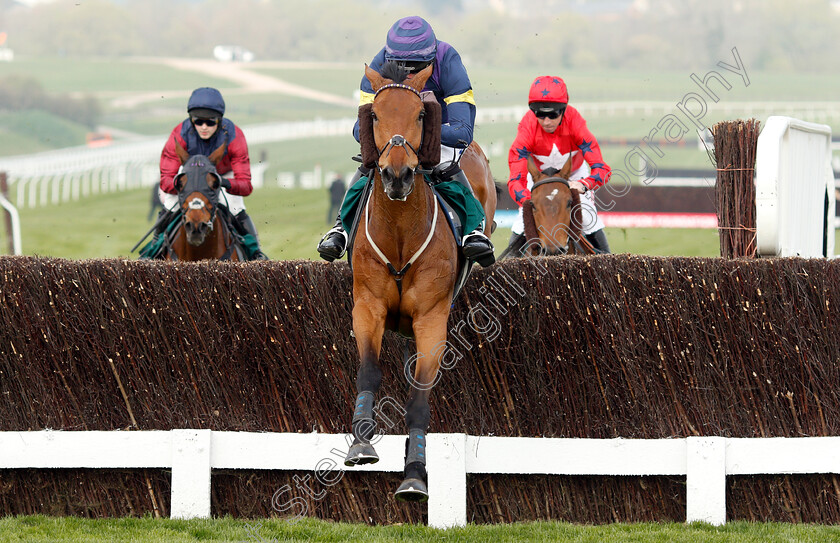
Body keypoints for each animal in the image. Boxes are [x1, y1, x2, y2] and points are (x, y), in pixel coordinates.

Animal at [344, 62, 496, 502]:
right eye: (376, 116)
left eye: (420, 116)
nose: (397, 175)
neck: (399, 233)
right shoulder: (368, 307)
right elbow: (368, 372)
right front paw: (361, 443)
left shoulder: (432, 319)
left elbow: (419, 400)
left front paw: (414, 474)